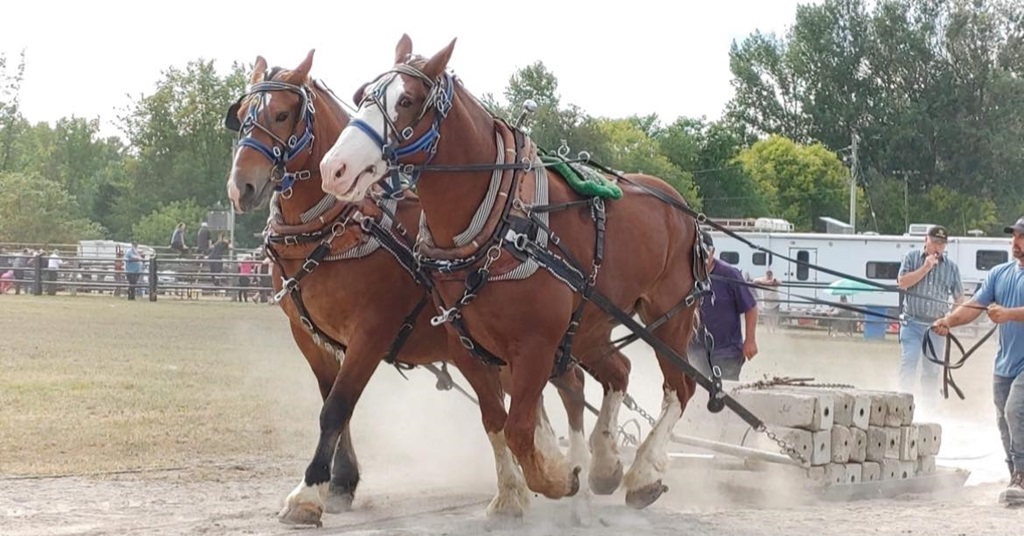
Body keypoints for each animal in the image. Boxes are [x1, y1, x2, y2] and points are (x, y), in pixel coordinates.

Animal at [224, 50, 591, 526]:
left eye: (283, 114)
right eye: (242, 117)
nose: (241, 187)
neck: (340, 225)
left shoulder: (371, 332)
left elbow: (336, 407)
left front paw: (308, 493)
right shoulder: (309, 335)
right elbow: (332, 402)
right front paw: (340, 482)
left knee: (569, 387)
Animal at [319, 35, 707, 509]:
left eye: (407, 101)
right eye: (361, 96)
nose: (333, 169)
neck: (504, 223)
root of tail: (680, 205)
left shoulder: (536, 347)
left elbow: (520, 430)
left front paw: (557, 476)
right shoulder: (468, 347)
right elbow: (497, 422)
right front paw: (519, 492)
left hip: (669, 318)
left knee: (680, 390)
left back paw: (643, 472)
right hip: (591, 324)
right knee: (619, 371)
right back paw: (605, 464)